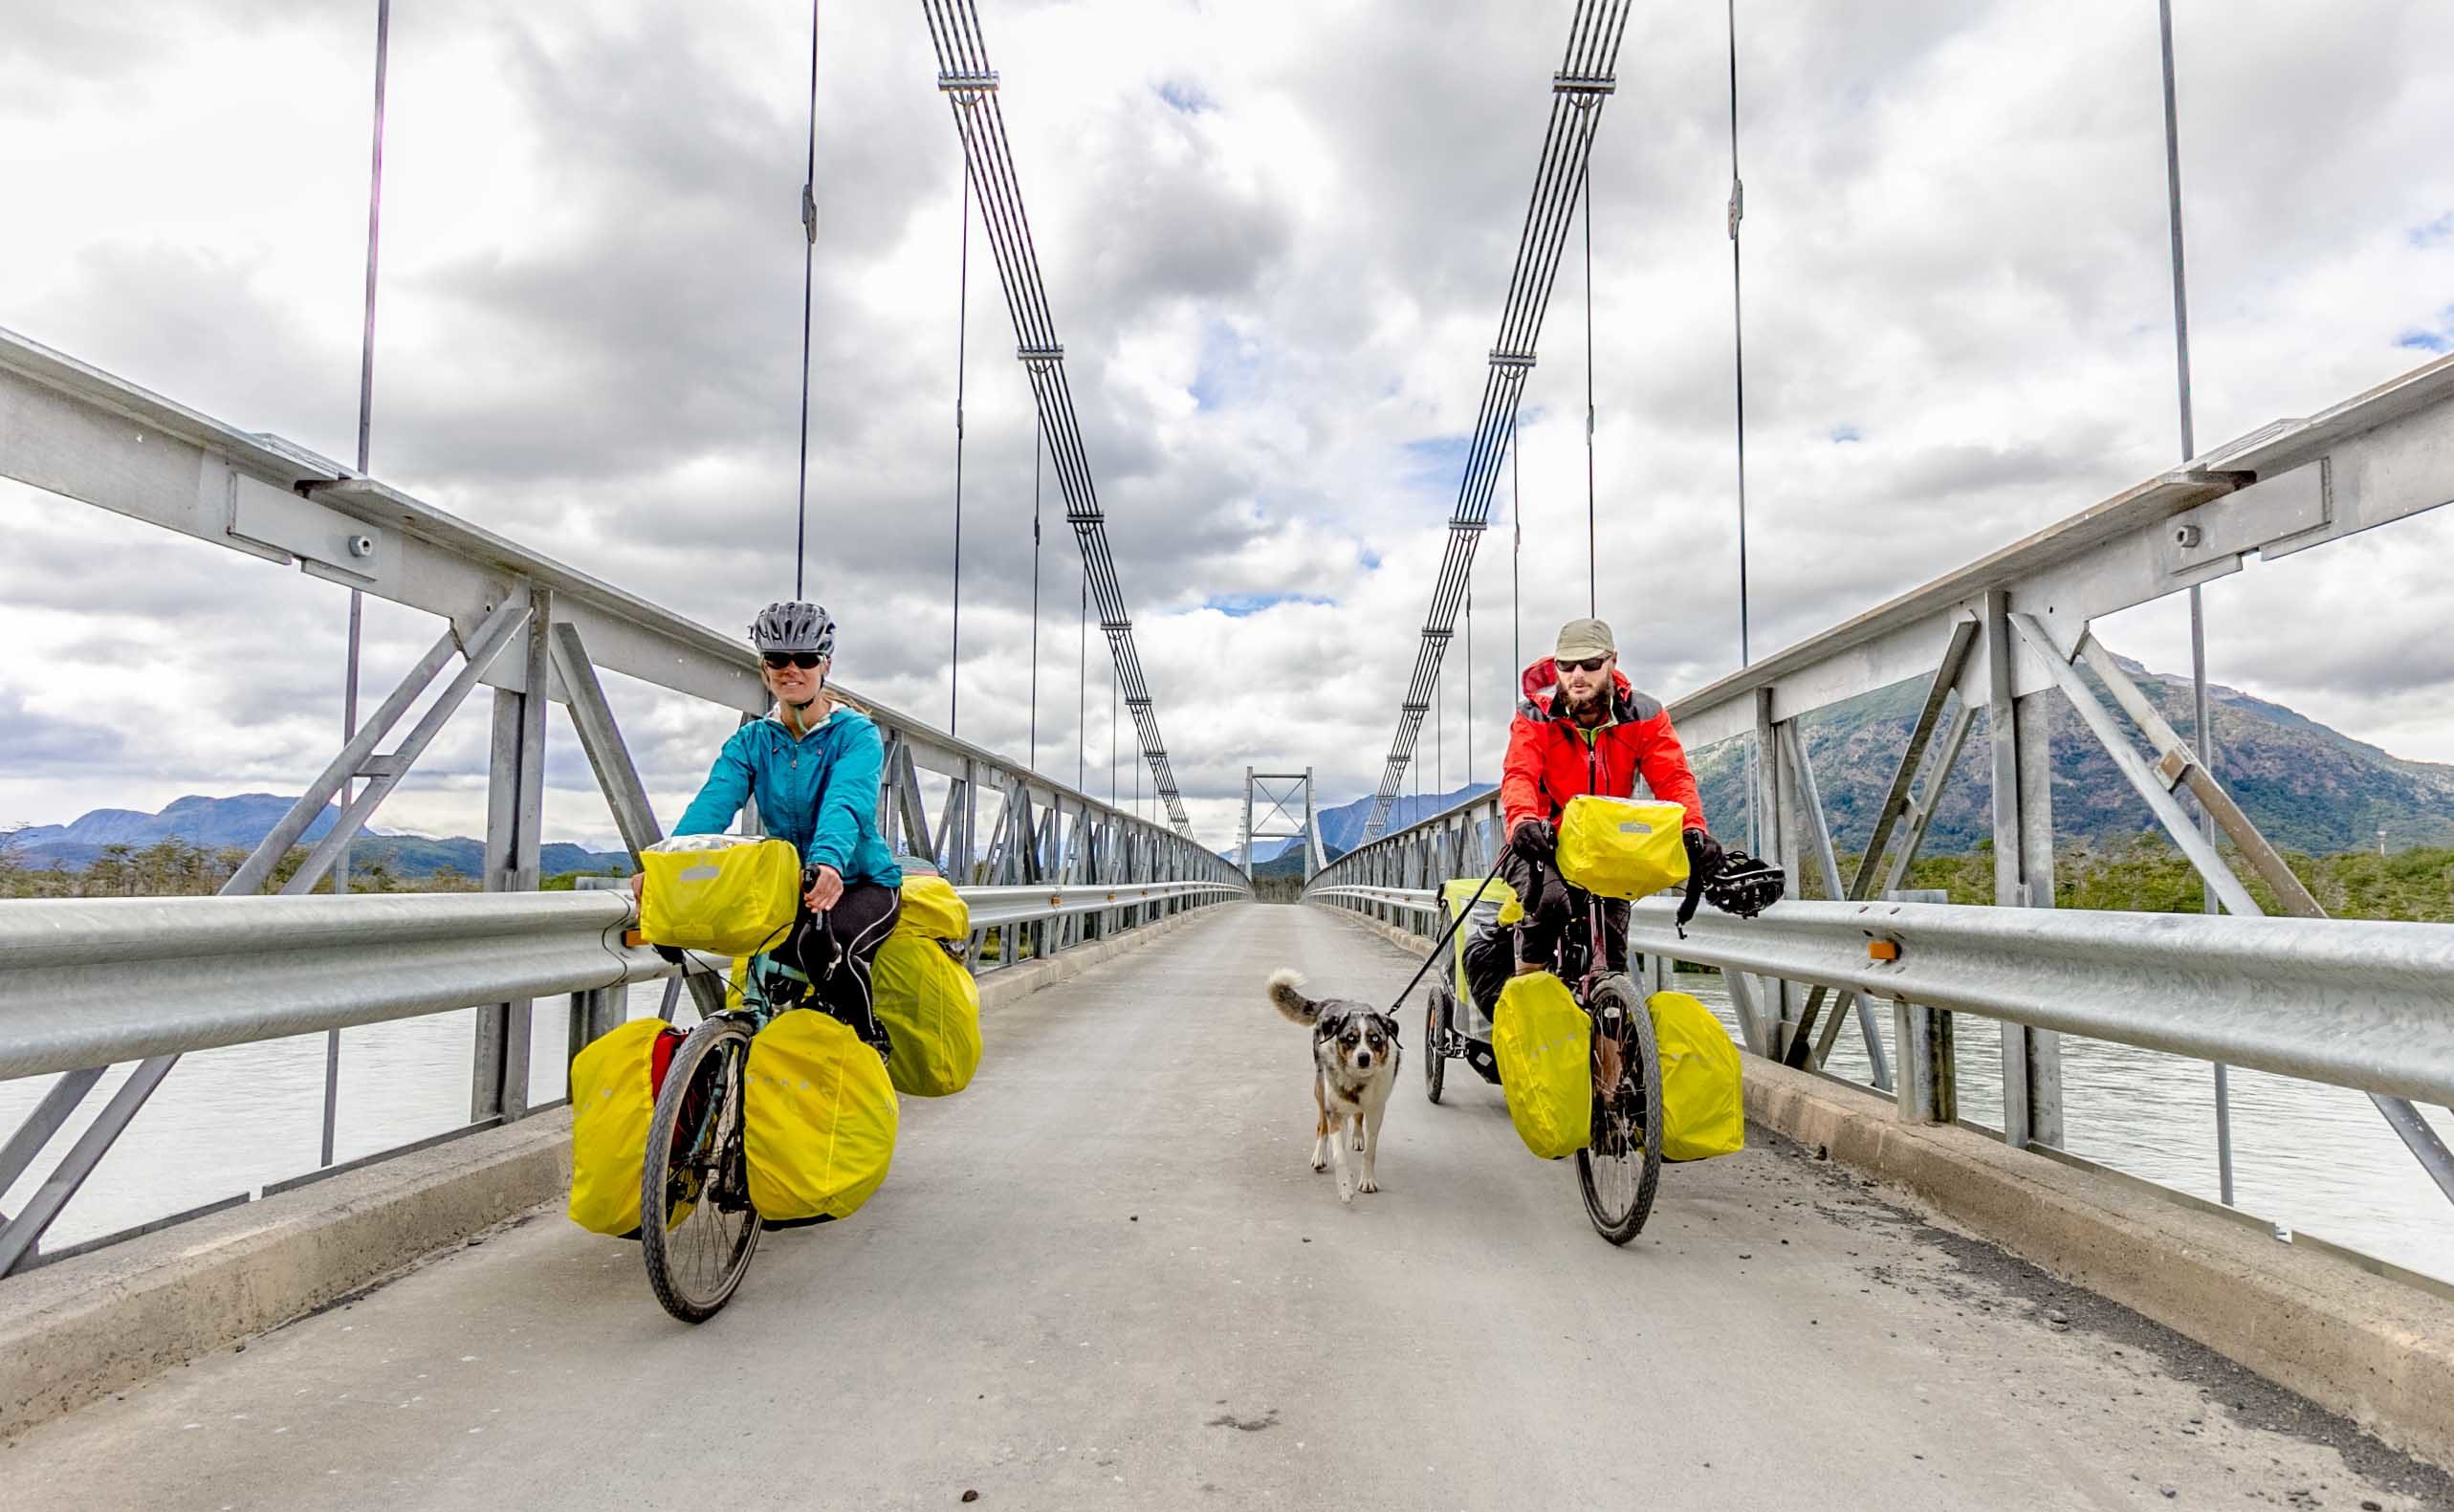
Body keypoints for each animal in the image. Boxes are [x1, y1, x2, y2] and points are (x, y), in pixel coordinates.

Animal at [1266, 967, 1403, 1202]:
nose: (1364, 1058)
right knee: (1321, 1124)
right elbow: (1339, 1153)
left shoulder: (1377, 1109)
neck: (1357, 1081)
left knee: (1358, 1116)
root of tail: (1334, 1002)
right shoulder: (1336, 1111)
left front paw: (1367, 1180)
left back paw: (1357, 1137)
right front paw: (1345, 1187)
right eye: (1350, 1038)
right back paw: (1320, 1156)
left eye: (1375, 1039)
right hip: (1320, 1089)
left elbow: (1370, 1150)